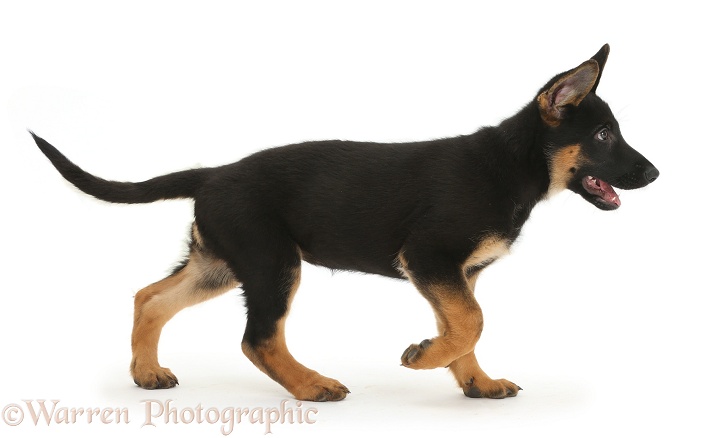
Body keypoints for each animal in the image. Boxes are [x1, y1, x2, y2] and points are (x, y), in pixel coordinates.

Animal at [31, 43, 656, 400]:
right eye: (604, 136)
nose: (653, 174)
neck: (514, 164)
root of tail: (213, 175)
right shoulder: (429, 258)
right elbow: (472, 323)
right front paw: (424, 356)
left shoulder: (457, 274)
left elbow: (466, 327)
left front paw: (476, 382)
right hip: (272, 262)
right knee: (257, 338)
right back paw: (312, 385)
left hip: (222, 264)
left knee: (150, 297)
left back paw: (147, 372)